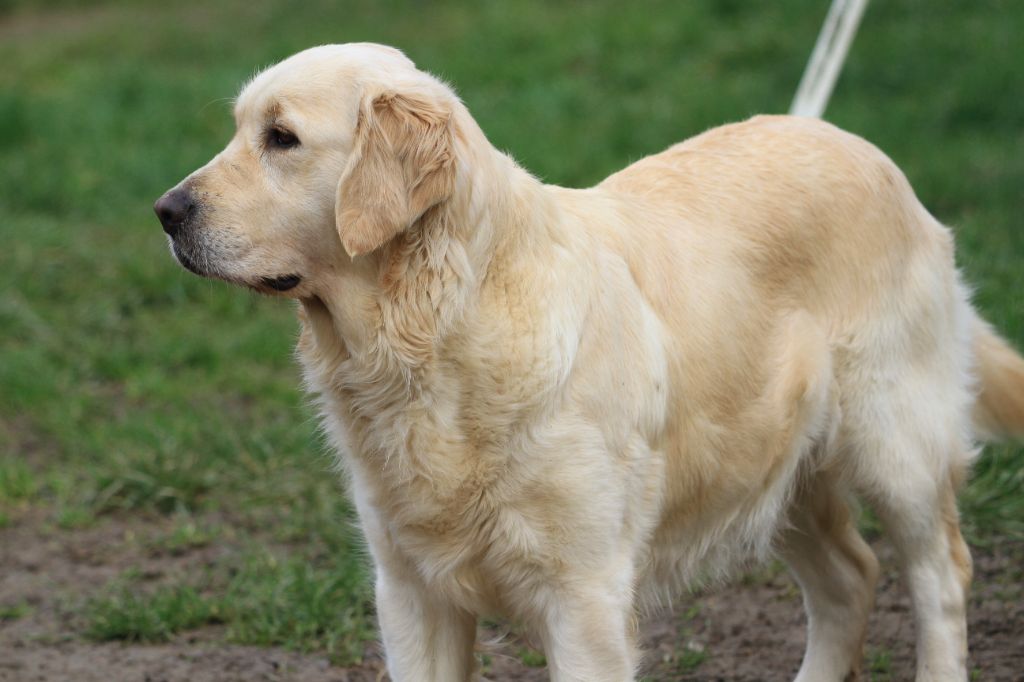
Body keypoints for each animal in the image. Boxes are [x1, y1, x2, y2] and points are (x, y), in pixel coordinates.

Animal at [153, 45, 1024, 675]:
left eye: (282, 138)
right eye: (240, 128)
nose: (165, 211)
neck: (440, 330)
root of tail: (864, 149)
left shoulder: (586, 599)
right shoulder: (409, 591)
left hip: (896, 444)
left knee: (940, 576)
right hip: (767, 464)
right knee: (851, 576)